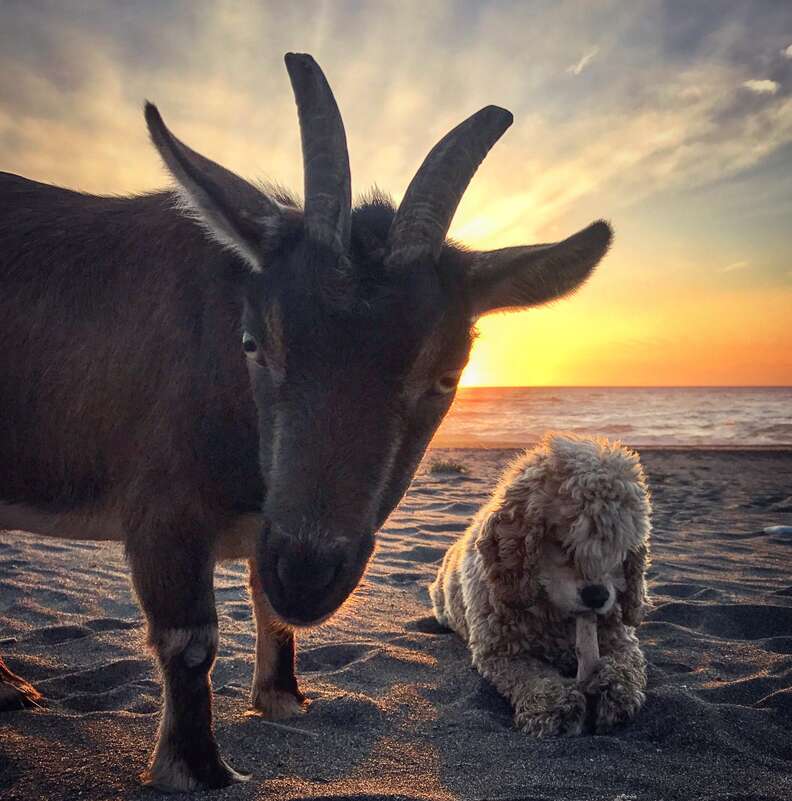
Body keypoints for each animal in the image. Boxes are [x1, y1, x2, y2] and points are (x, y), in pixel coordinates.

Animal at [0, 53, 612, 792]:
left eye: (447, 375)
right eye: (252, 342)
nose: (306, 573)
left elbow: (268, 606)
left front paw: (283, 697)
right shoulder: (162, 507)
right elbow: (190, 637)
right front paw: (197, 768)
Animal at [434, 434, 648, 736]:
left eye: (620, 550)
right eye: (564, 544)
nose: (597, 596)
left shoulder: (620, 638)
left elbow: (628, 664)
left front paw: (615, 690)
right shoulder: (500, 652)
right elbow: (531, 676)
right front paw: (556, 705)